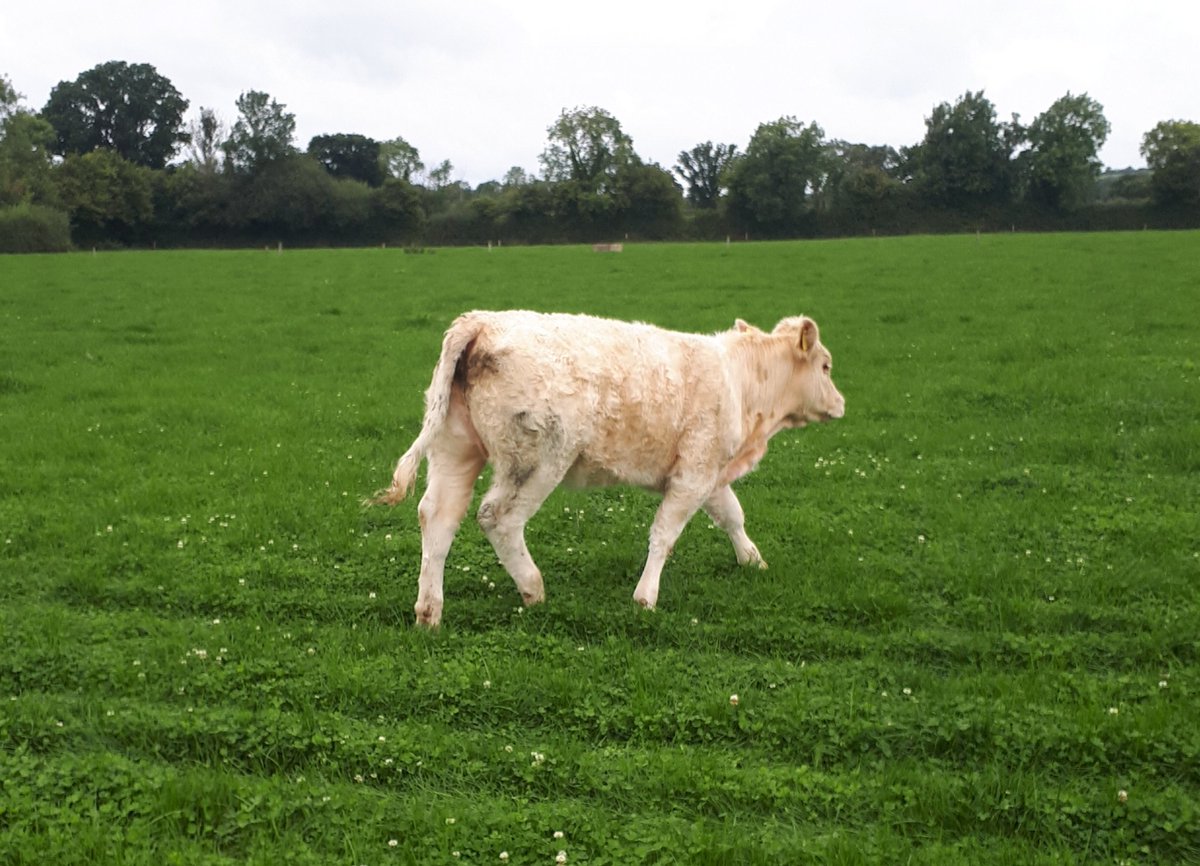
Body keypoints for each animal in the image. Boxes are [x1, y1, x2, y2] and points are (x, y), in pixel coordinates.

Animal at [373, 310, 845, 626]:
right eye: (826, 366)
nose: (841, 404)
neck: (740, 381)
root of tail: (480, 322)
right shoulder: (694, 472)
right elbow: (665, 534)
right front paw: (645, 597)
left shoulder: (707, 474)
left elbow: (732, 516)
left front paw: (753, 560)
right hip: (538, 461)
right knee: (499, 519)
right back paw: (532, 588)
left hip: (456, 450)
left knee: (438, 518)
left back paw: (429, 611)